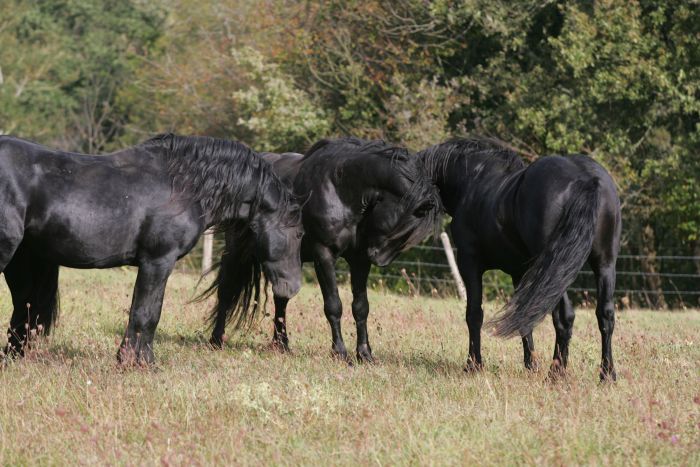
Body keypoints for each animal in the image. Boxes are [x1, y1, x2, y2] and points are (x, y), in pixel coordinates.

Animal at [0, 133, 304, 364]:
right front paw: (141, 363)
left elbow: (142, 311)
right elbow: (147, 313)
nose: (292, 287)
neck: (184, 187)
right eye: (299, 233)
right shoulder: (158, 261)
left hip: (21, 261)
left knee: (22, 309)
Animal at [205, 137, 442, 364]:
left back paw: (281, 345)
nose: (377, 257)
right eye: (405, 228)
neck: (341, 189)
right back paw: (217, 340)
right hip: (236, 252)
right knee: (226, 290)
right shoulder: (324, 255)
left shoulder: (359, 260)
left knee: (280, 298)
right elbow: (333, 305)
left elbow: (361, 307)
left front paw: (365, 354)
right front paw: (340, 353)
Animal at [418, 139, 620, 380]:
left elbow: (474, 314)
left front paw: (473, 365)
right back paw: (607, 374)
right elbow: (524, 318)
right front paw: (530, 365)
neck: (473, 180)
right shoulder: (519, 273)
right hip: (604, 264)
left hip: (555, 269)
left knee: (564, 317)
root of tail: (586, 179)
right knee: (605, 315)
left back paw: (556, 374)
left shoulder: (469, 263)